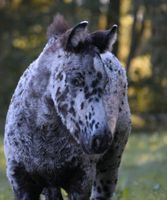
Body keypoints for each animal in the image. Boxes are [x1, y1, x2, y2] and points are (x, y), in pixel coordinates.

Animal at [3, 14, 131, 199]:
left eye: (105, 82)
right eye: (76, 80)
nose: (100, 139)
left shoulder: (81, 181)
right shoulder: (21, 182)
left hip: (110, 165)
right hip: (51, 186)